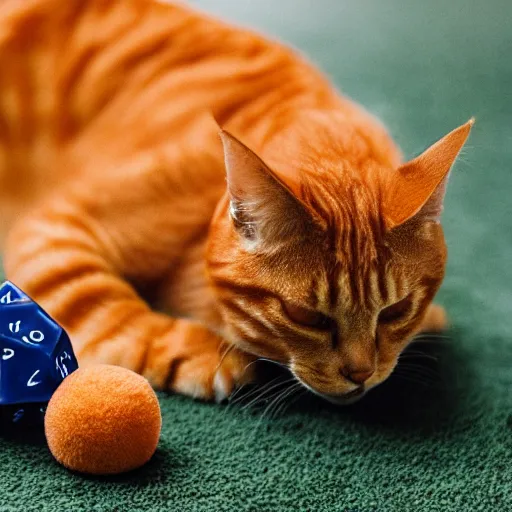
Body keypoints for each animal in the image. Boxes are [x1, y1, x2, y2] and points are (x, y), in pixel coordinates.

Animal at [0, 0, 472, 404]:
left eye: (396, 311)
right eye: (306, 317)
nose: (361, 374)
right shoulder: (56, 230)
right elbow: (107, 309)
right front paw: (208, 355)